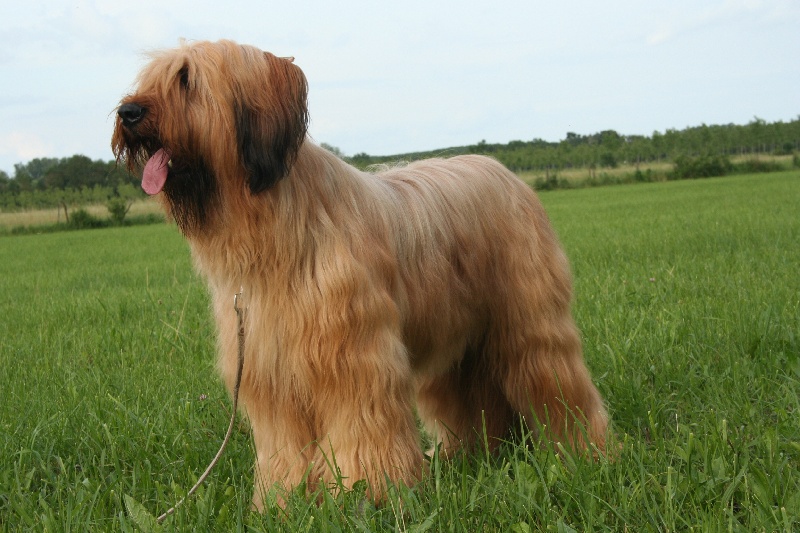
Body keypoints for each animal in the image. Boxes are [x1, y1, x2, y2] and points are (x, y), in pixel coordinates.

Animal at [112, 39, 608, 510]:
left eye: (186, 79)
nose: (127, 112)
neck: (275, 228)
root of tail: (504, 172)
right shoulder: (270, 373)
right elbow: (284, 450)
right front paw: (280, 502)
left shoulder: (353, 360)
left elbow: (361, 432)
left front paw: (367, 494)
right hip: (454, 340)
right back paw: (468, 455)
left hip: (529, 326)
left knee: (558, 385)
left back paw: (585, 451)